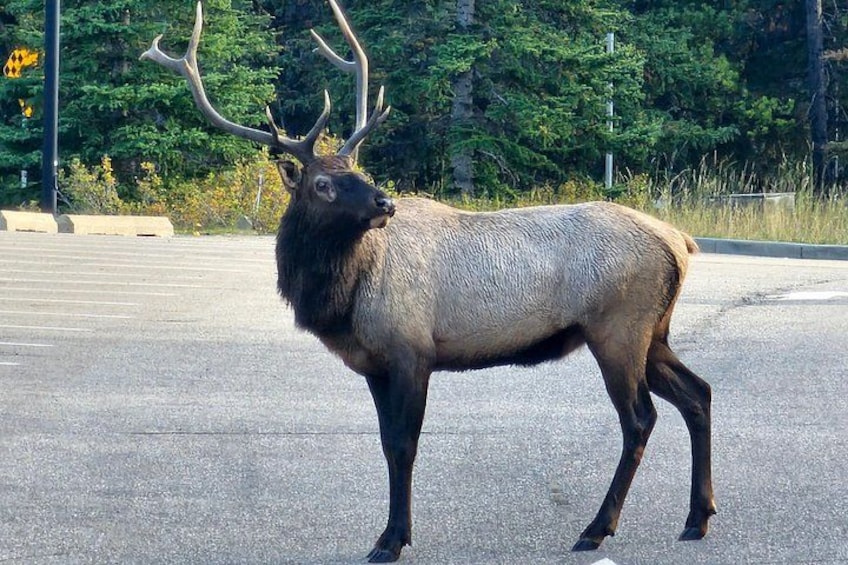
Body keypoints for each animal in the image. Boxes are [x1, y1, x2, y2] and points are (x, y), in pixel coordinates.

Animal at [141, 2, 716, 562]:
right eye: (323, 183)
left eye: (356, 166)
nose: (384, 202)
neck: (344, 299)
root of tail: (680, 242)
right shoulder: (374, 363)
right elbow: (385, 442)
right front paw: (393, 533)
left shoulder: (410, 349)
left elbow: (403, 446)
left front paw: (390, 539)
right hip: (654, 331)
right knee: (698, 392)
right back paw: (697, 518)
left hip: (618, 327)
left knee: (640, 417)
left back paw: (597, 528)